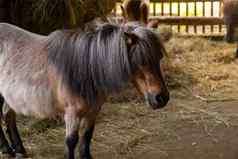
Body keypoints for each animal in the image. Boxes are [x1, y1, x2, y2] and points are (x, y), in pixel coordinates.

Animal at [0, 21, 169, 158]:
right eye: (141, 61)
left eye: (159, 58)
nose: (162, 98)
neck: (85, 69)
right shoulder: (72, 114)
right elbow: (71, 142)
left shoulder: (93, 111)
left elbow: (86, 137)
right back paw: (8, 150)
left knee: (8, 115)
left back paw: (18, 150)